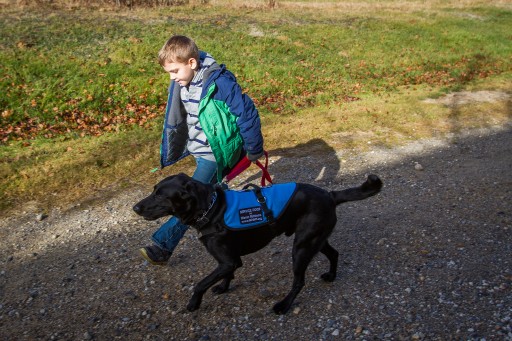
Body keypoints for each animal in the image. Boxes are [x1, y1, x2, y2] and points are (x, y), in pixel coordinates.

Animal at [134, 173, 382, 314]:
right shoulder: (230, 261)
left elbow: (200, 283)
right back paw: (331, 276)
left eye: (160, 195)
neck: (211, 208)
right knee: (334, 254)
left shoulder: (227, 261)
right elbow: (227, 275)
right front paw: (224, 288)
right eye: (153, 191)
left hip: (301, 248)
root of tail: (330, 195)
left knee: (299, 281)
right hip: (315, 240)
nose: (135, 207)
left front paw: (194, 303)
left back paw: (284, 305)